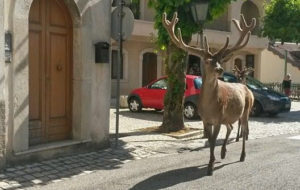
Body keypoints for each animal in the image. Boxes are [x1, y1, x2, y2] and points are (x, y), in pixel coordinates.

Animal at [162, 12, 255, 175]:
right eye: (206, 61)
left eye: (219, 60)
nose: (220, 69)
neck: (210, 106)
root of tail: (247, 89)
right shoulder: (206, 119)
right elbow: (211, 140)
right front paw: (211, 161)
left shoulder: (217, 118)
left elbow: (213, 141)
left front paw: (210, 166)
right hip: (228, 116)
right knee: (230, 127)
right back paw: (223, 152)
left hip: (245, 111)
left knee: (243, 131)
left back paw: (242, 155)